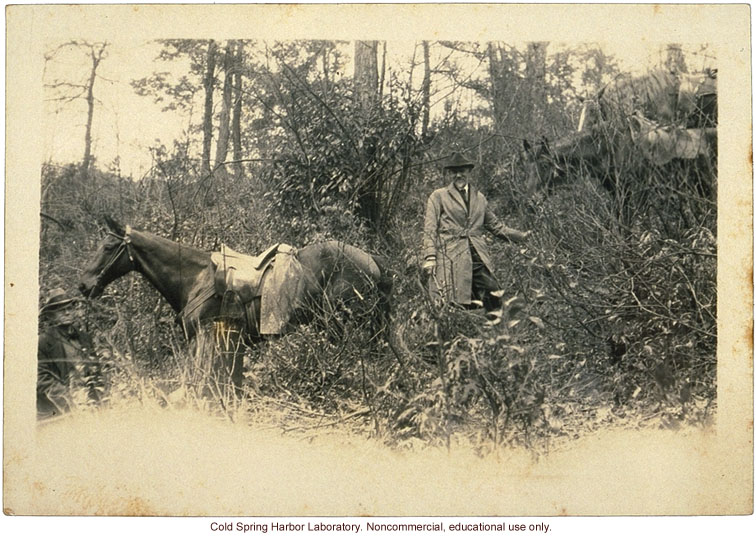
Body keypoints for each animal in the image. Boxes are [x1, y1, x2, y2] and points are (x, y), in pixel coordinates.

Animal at [79, 216, 398, 396]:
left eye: (108, 247)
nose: (84, 285)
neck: (196, 278)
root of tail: (371, 260)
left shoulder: (203, 340)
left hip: (341, 324)